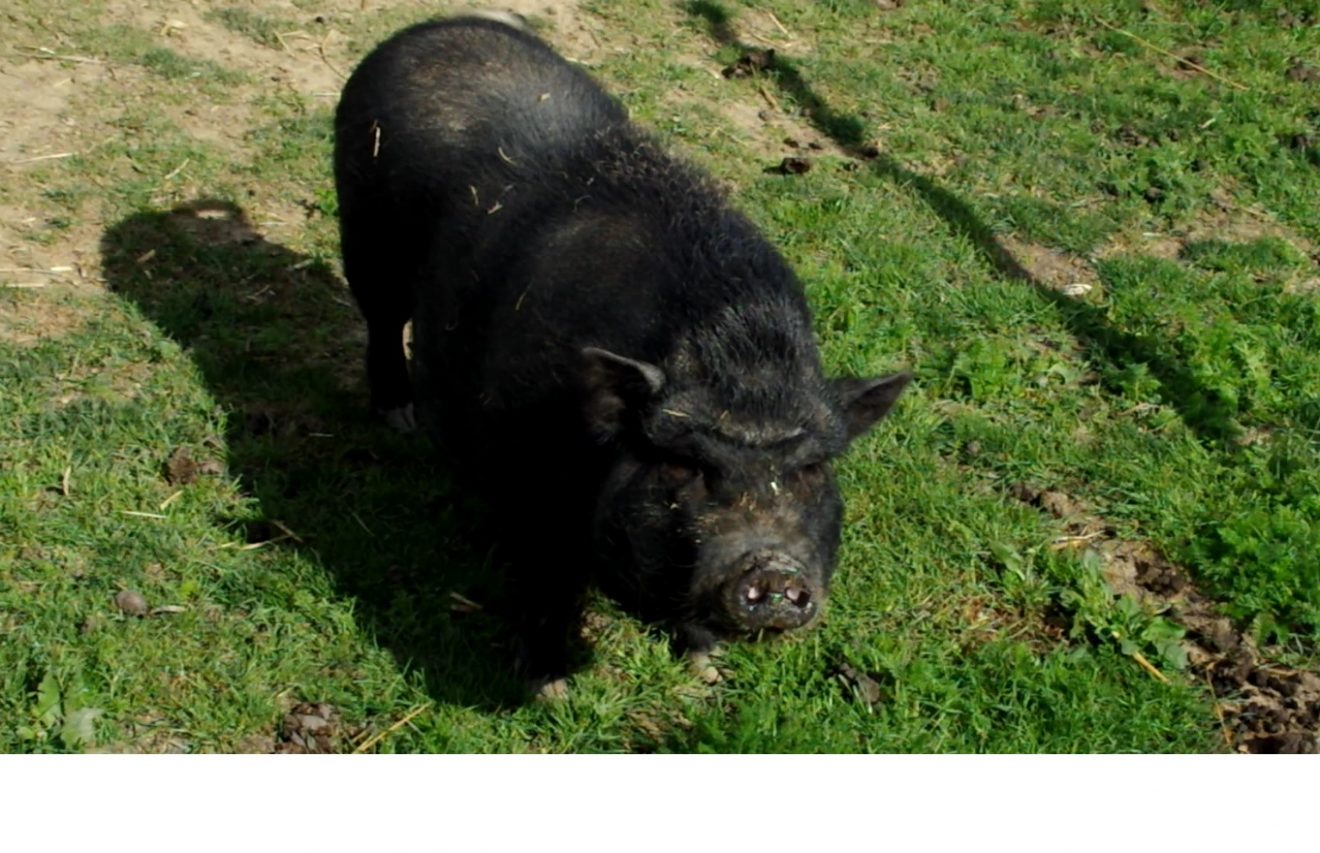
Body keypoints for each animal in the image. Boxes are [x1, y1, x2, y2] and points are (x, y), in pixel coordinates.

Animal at [333, 14, 910, 692]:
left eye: (812, 470)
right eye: (684, 466)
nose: (771, 569)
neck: (738, 362)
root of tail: (427, 28)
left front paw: (705, 673)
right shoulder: (524, 478)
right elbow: (545, 584)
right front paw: (549, 687)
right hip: (365, 232)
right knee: (381, 319)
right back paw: (397, 418)